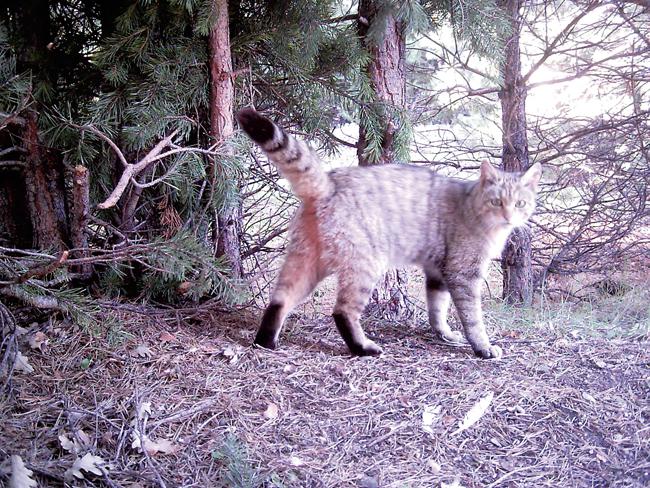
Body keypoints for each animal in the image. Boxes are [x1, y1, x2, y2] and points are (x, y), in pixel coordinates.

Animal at [235, 108, 540, 358]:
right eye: (496, 202)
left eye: (520, 203)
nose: (509, 216)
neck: (472, 205)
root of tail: (328, 183)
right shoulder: (463, 274)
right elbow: (472, 317)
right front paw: (483, 347)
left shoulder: (437, 272)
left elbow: (437, 308)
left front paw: (443, 334)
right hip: (364, 266)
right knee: (342, 311)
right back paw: (363, 348)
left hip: (306, 261)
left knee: (279, 300)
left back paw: (265, 341)